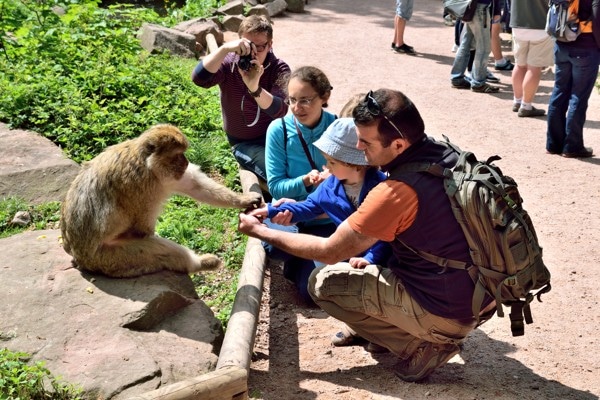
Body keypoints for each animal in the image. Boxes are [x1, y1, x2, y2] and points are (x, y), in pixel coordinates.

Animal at [60, 122, 262, 278]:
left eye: (183, 154)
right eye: (178, 155)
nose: (185, 162)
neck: (147, 165)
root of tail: (78, 256)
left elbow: (196, 186)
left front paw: (244, 199)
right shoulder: (141, 186)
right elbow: (142, 231)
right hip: (110, 258)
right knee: (157, 249)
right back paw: (198, 264)